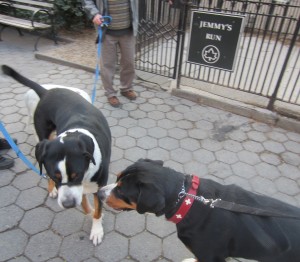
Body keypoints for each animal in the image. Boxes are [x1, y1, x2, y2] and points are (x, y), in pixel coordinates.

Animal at [2, 65, 111, 246]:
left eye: (76, 175)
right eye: (56, 176)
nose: (67, 204)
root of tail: (47, 91)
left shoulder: (97, 186)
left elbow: (96, 209)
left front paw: (97, 229)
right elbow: (84, 203)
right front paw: (91, 213)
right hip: (42, 135)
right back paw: (51, 189)